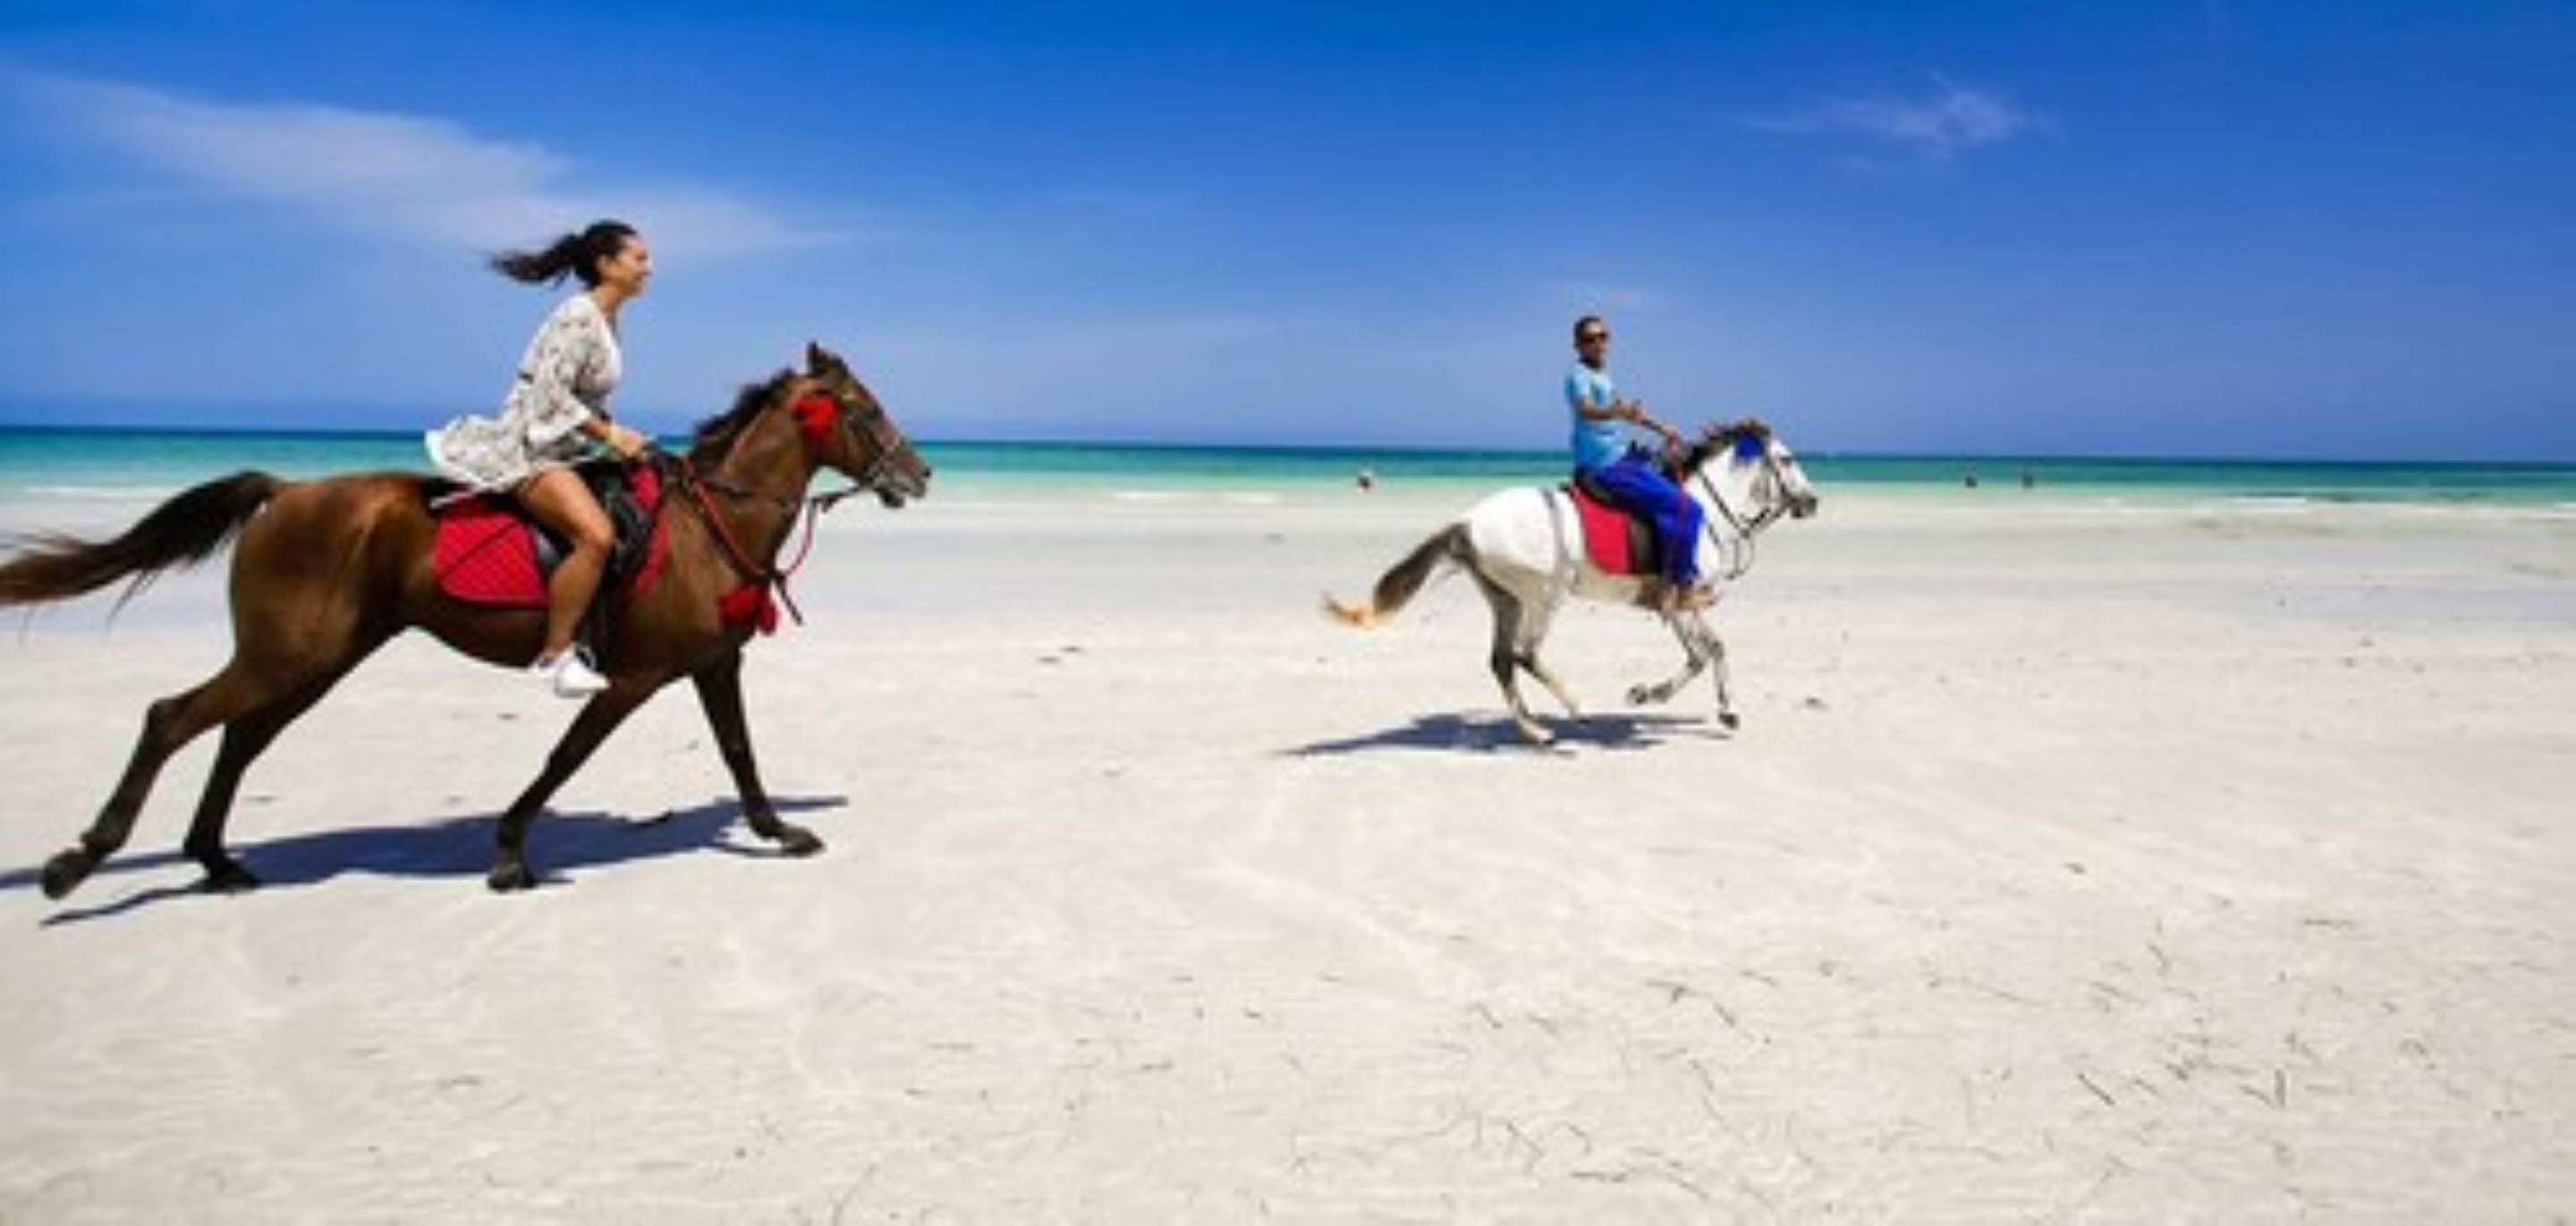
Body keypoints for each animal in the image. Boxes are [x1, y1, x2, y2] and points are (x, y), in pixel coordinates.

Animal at [0, 342, 930, 896]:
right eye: (865, 407)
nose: (918, 473)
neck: (710, 524)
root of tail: (283, 493)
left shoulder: (712, 663)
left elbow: (740, 750)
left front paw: (778, 830)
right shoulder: (630, 677)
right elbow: (567, 755)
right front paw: (510, 850)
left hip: (313, 659)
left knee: (236, 737)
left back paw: (217, 860)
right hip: (290, 655)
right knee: (172, 718)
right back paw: (80, 859)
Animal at [1325, 418, 1818, 744]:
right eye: (1787, 459)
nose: (1812, 501)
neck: (1704, 508)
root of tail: (1467, 523)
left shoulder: (1676, 603)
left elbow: (1704, 653)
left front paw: (1653, 695)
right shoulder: (1681, 599)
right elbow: (1709, 650)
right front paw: (1716, 708)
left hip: (1506, 599)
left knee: (1501, 660)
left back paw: (1536, 730)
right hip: (1545, 595)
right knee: (1524, 654)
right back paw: (1576, 711)